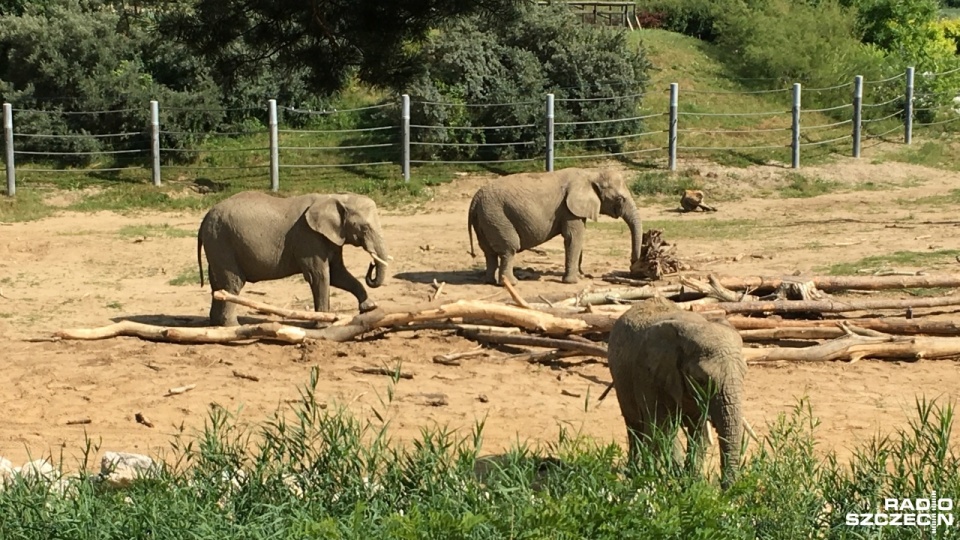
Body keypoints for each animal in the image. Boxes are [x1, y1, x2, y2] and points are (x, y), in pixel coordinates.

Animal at [197, 191, 392, 324]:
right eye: (364, 228)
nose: (371, 265)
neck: (335, 197)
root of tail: (205, 217)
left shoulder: (331, 238)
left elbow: (338, 274)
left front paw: (369, 308)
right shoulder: (308, 238)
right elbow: (320, 275)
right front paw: (324, 324)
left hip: (217, 242)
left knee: (217, 283)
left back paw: (215, 324)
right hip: (221, 240)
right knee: (232, 283)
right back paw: (232, 326)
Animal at [466, 168, 640, 286]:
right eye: (620, 199)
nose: (632, 264)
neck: (590, 175)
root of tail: (475, 200)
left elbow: (577, 238)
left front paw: (580, 277)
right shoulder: (569, 209)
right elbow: (573, 237)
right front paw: (572, 282)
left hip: (485, 219)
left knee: (489, 252)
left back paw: (489, 281)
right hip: (497, 216)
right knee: (509, 249)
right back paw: (511, 283)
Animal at [608, 296, 752, 490]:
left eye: (744, 375)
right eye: (701, 380)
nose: (724, 488)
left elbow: (698, 432)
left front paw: (692, 481)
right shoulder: (649, 374)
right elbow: (662, 428)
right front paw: (676, 479)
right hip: (620, 380)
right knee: (635, 425)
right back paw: (636, 474)